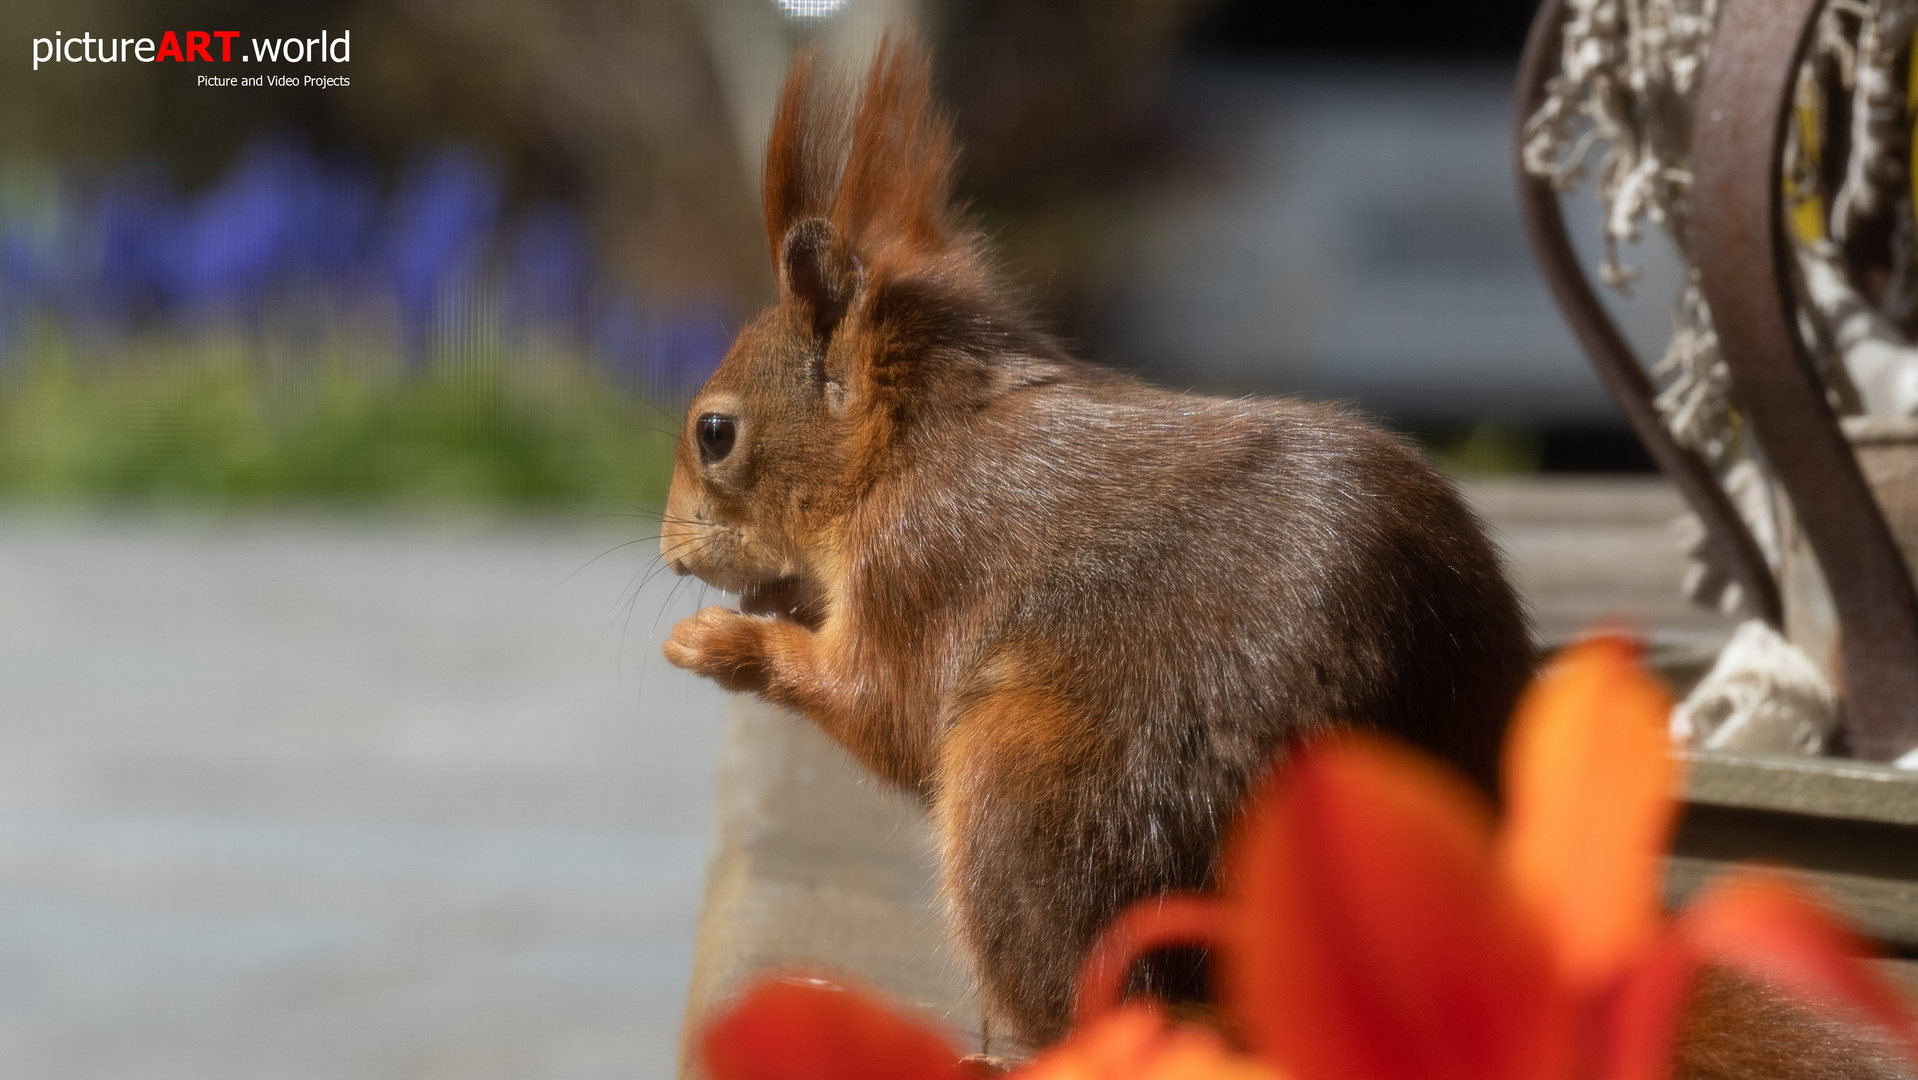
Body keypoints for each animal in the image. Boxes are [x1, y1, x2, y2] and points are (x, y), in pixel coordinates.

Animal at [667, 42, 1534, 1058]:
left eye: (715, 433)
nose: (673, 550)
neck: (911, 447)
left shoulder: (919, 568)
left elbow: (883, 706)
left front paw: (726, 643)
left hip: (1037, 793)